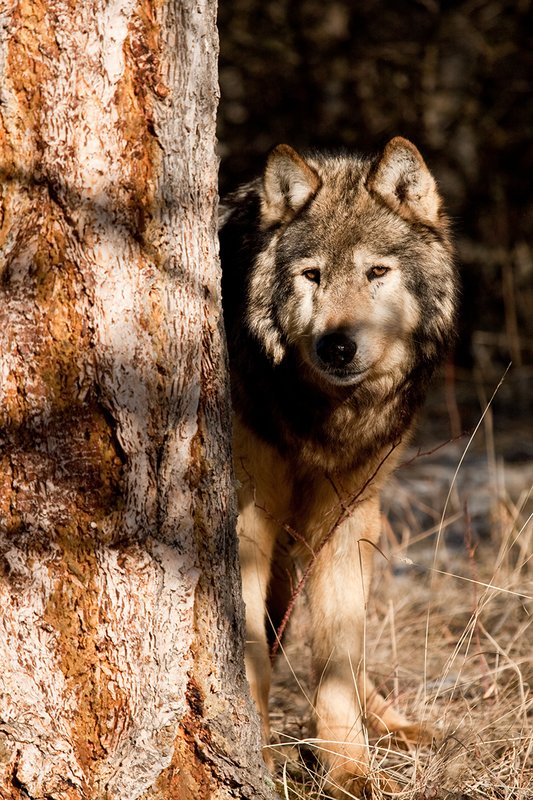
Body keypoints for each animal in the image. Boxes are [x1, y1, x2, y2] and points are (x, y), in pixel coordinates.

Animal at [219, 137, 457, 796]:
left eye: (376, 272)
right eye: (313, 276)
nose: (338, 345)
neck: (324, 420)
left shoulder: (347, 519)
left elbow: (338, 661)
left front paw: (349, 768)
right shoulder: (251, 516)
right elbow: (251, 653)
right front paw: (259, 754)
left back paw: (395, 724)